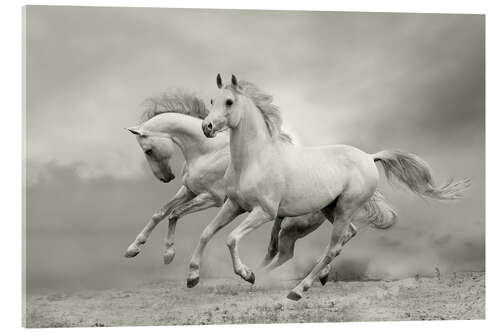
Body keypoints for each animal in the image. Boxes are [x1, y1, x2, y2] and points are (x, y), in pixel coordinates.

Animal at [199, 74, 468, 300]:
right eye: (212, 100)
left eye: (229, 102)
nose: (206, 127)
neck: (255, 160)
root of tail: (369, 157)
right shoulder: (234, 205)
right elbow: (206, 234)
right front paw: (193, 276)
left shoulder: (264, 212)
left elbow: (231, 238)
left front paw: (248, 274)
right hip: (331, 209)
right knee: (345, 237)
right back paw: (314, 276)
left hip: (345, 208)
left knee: (332, 248)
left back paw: (299, 289)